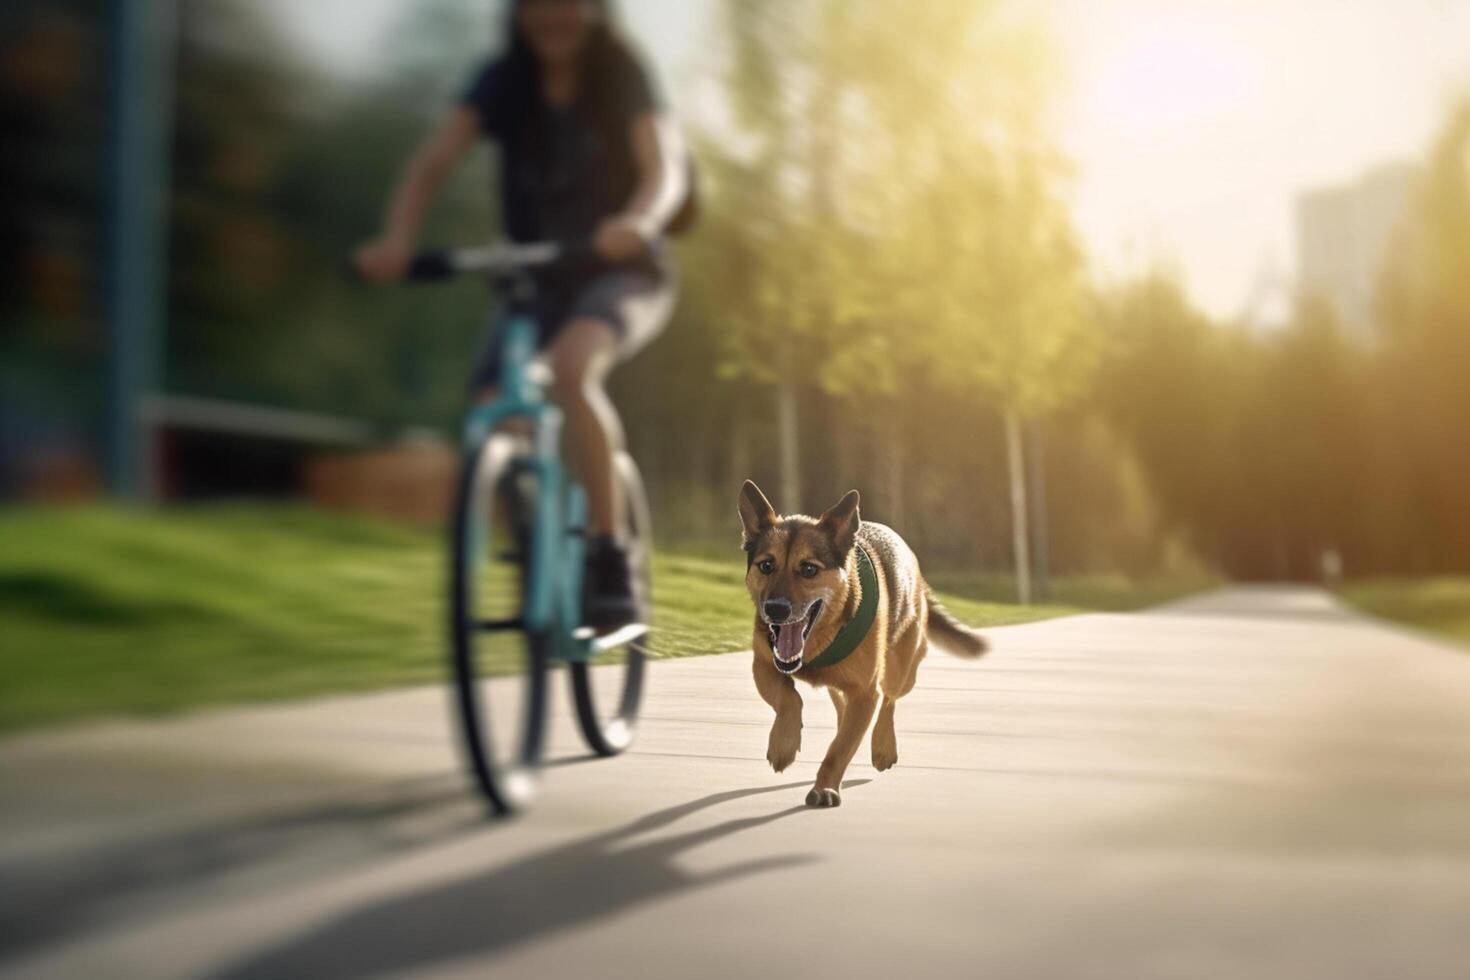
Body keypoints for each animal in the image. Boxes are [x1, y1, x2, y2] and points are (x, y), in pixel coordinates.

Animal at [735, 478, 987, 811]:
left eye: (809, 569)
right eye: (766, 566)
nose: (775, 610)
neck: (817, 642)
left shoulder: (865, 691)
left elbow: (839, 748)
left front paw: (825, 787)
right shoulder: (763, 665)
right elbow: (788, 698)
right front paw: (783, 745)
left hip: (900, 671)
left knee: (889, 700)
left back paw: (883, 746)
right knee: (844, 708)